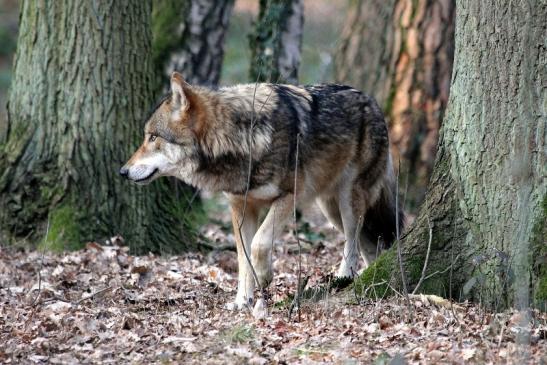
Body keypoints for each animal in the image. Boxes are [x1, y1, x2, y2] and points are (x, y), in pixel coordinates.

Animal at [121, 72, 402, 310]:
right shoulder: (241, 208)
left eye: (152, 137)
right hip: (330, 208)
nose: (122, 172)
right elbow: (243, 259)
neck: (241, 137)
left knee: (353, 240)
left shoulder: (288, 197)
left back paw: (345, 275)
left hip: (347, 201)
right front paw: (242, 300)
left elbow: (259, 243)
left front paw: (265, 277)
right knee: (367, 246)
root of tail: (373, 102)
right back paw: (365, 276)